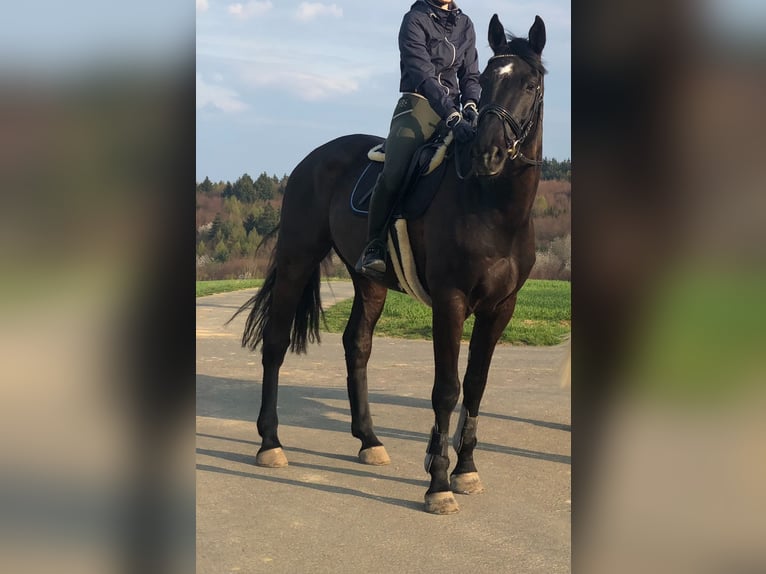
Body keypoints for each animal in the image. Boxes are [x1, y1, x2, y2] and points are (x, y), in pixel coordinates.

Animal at [232, 14, 546, 515]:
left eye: (531, 84)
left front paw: (466, 470)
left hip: (369, 281)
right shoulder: (451, 302)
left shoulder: (501, 308)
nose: (488, 153)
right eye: (489, 80)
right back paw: (270, 443)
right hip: (298, 258)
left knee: (356, 344)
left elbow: (475, 385)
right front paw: (438, 483)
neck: (491, 205)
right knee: (276, 343)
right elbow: (446, 388)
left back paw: (369, 439)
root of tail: (310, 159)